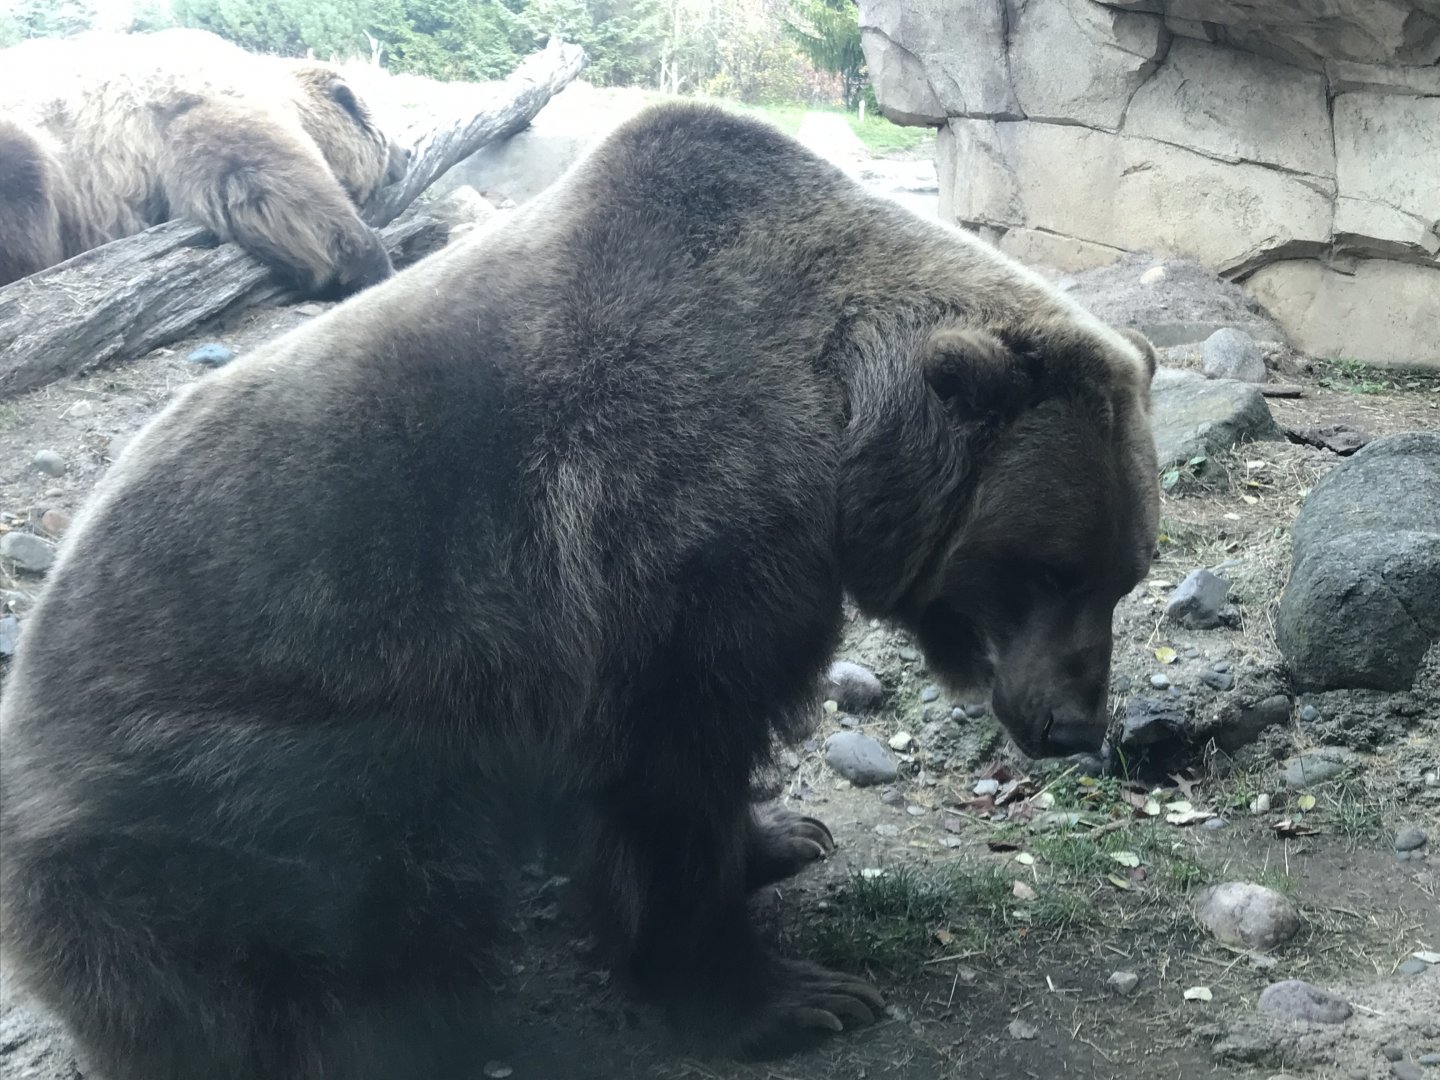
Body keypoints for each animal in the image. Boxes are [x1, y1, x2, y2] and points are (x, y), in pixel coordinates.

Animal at [0, 101, 1160, 1079]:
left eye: (1125, 574)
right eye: (1048, 568)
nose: (1072, 723)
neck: (829, 437)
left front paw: (783, 837)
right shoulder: (667, 541)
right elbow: (671, 764)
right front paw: (786, 997)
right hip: (239, 766)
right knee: (348, 896)